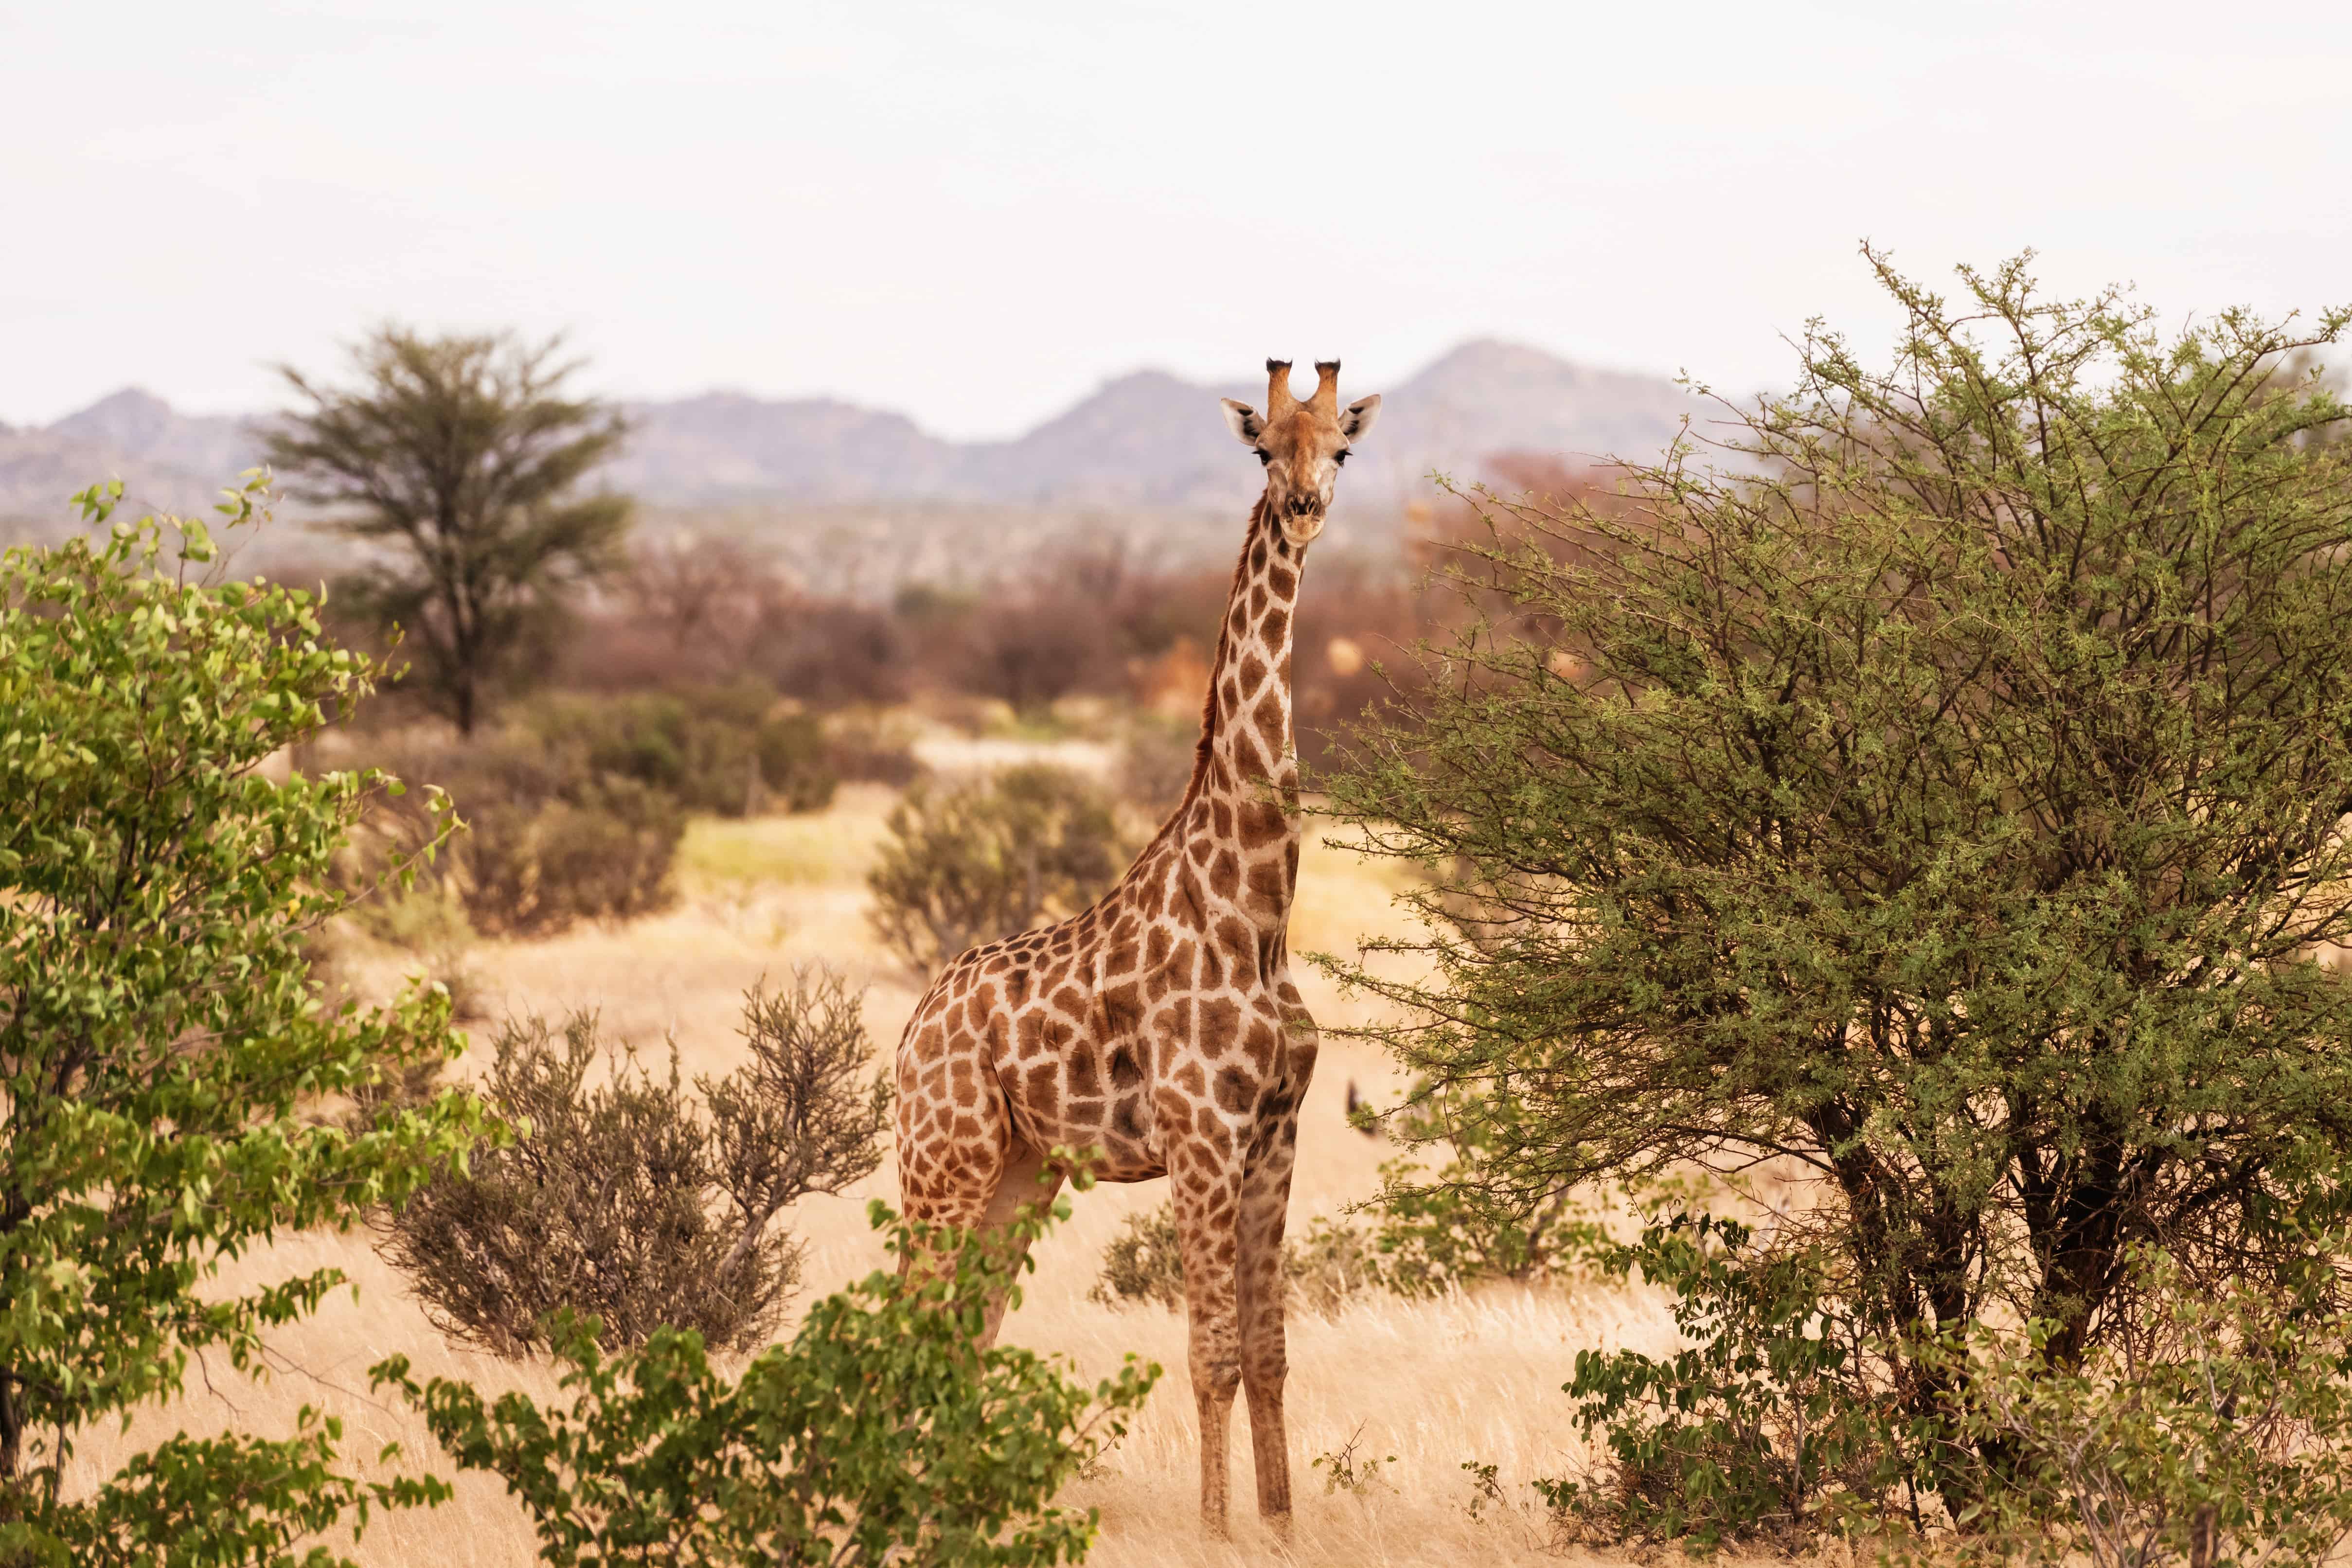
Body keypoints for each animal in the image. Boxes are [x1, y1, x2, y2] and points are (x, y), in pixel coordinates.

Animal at [893, 358, 1381, 1537]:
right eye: (1265, 448)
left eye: (1341, 446)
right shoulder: (1200, 1136)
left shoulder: (1276, 1134)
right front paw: (1214, 1529)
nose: (1305, 510)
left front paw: (1280, 1527)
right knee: (905, 1329)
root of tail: (907, 1034)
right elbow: (1209, 1355)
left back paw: (951, 1506)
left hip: (1017, 1172)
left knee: (963, 1335)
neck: (1258, 908)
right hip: (942, 1163)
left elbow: (1270, 1353)